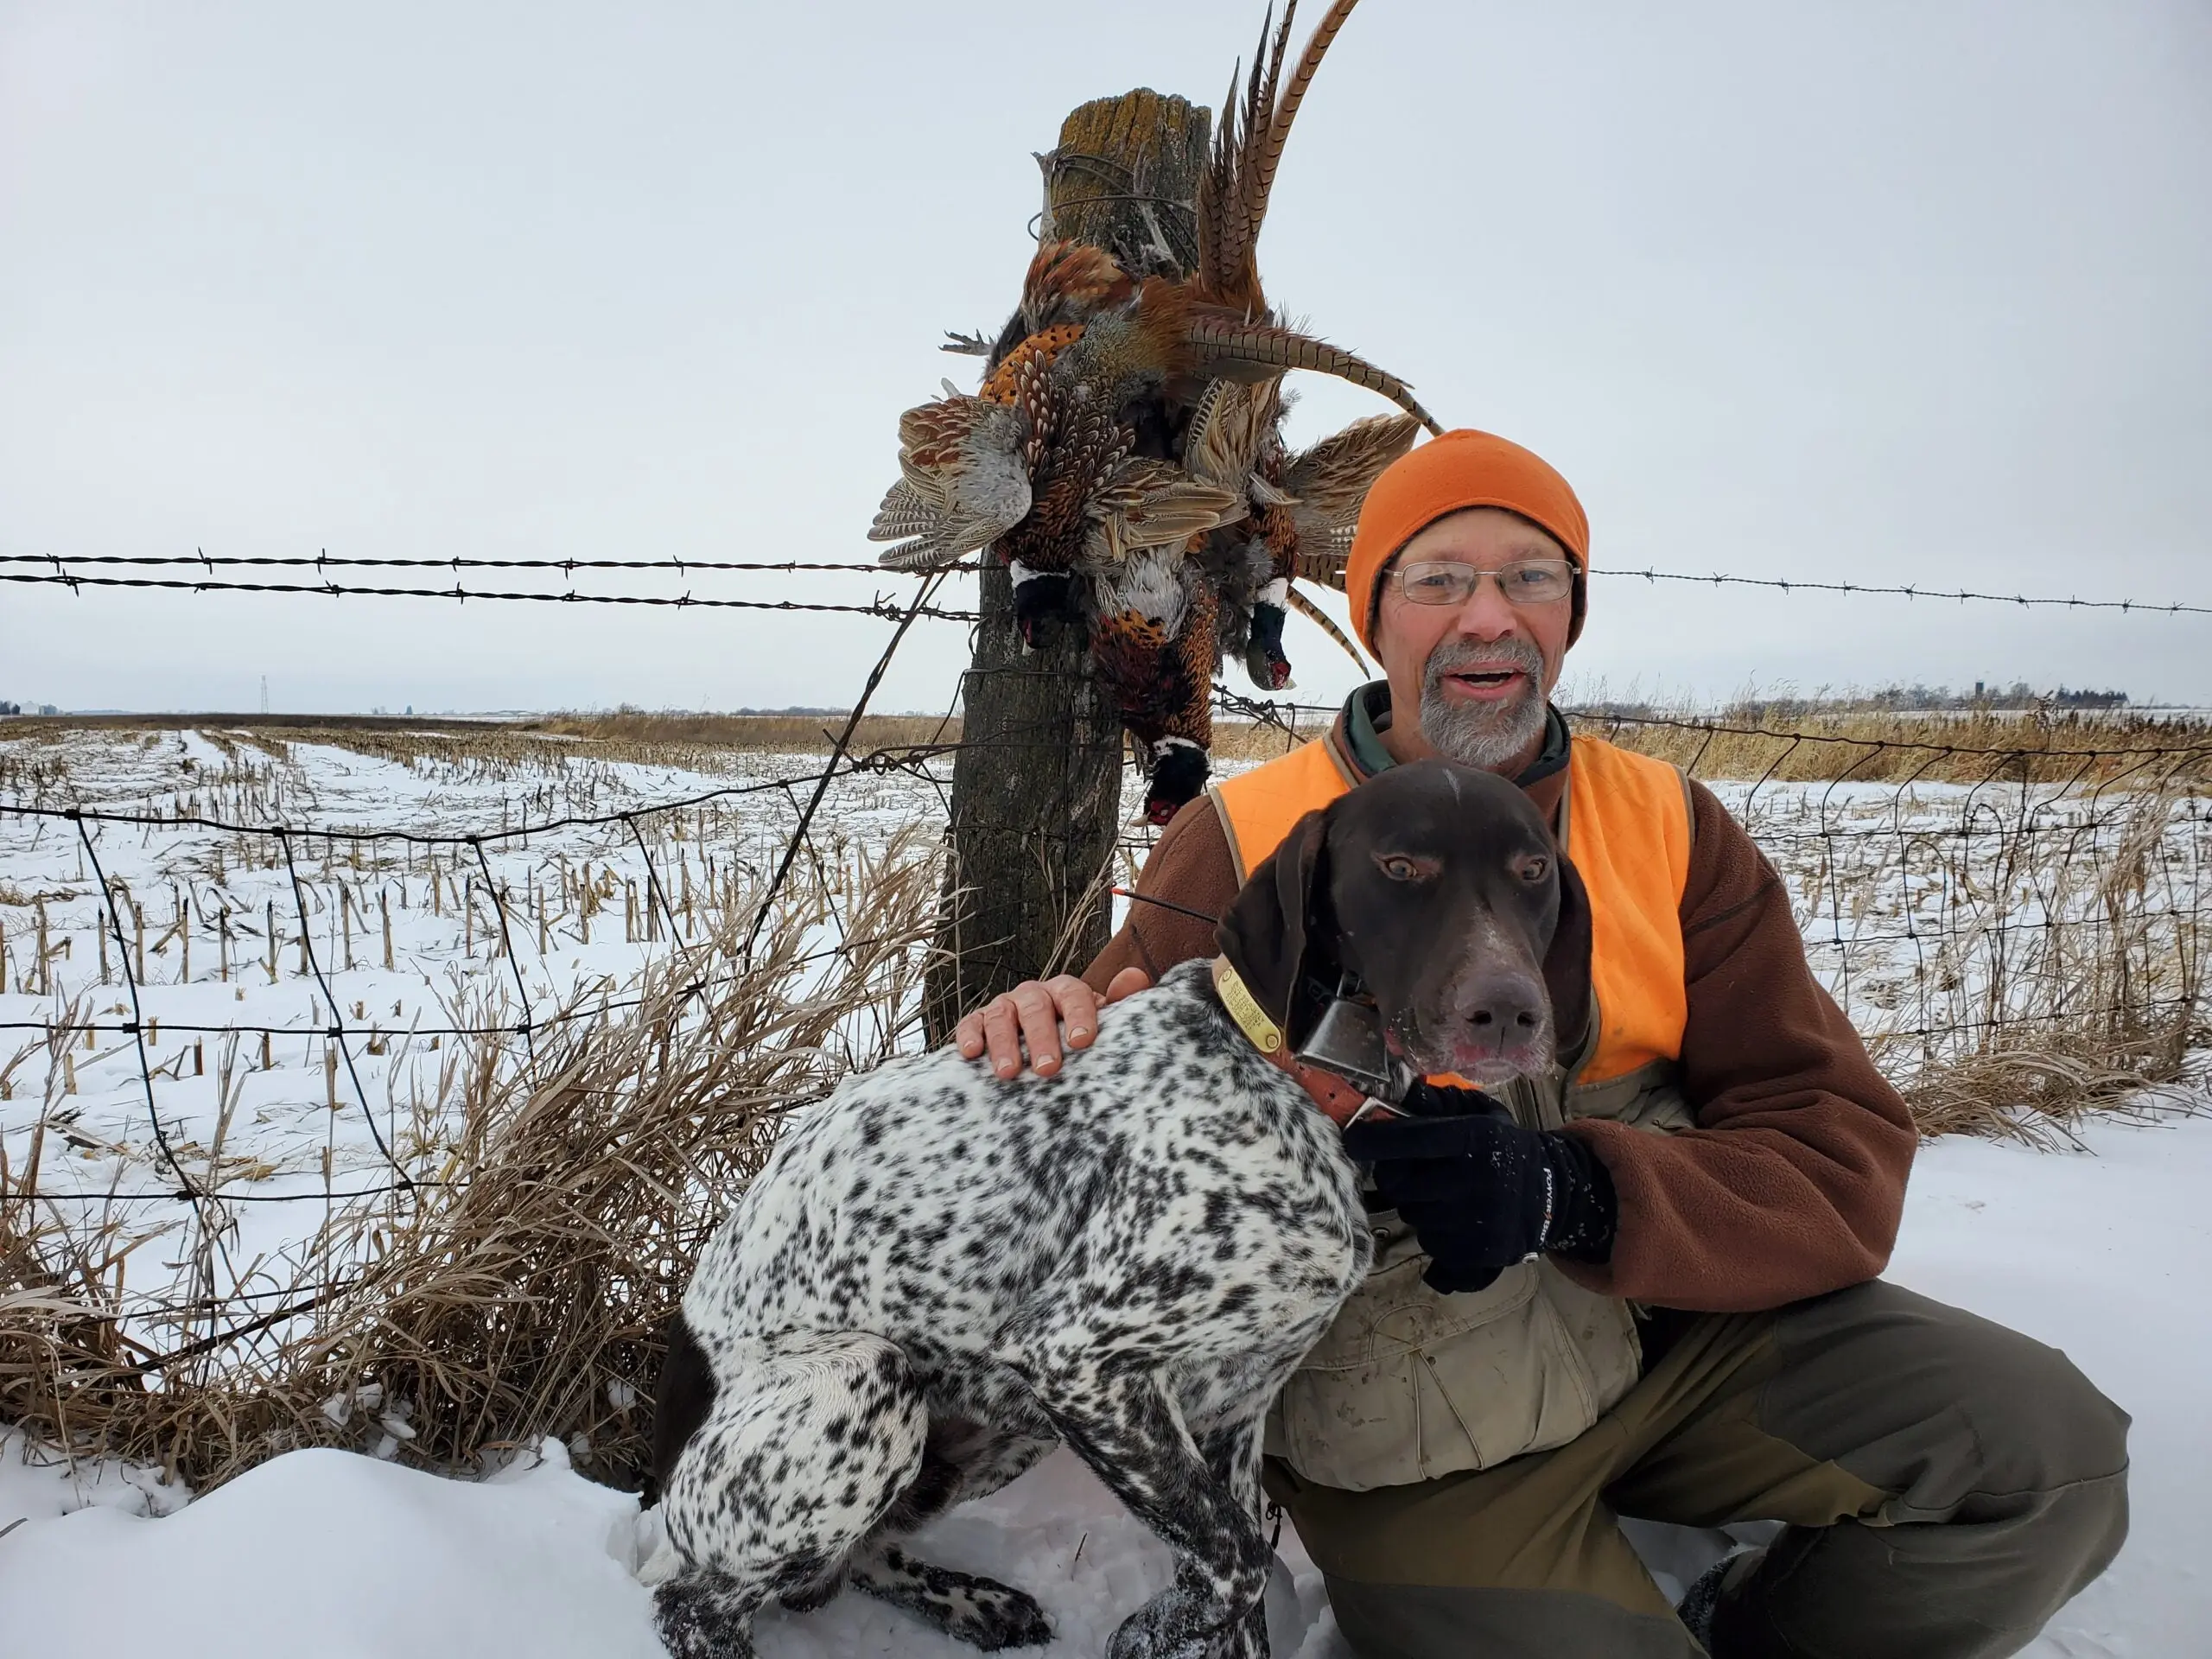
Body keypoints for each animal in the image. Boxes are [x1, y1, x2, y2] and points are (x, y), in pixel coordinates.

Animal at [641, 760, 1592, 1654]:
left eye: (1532, 870)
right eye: (1399, 866)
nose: (1509, 1013)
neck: (1294, 1078)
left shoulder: (1227, 1413)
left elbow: (1238, 1594)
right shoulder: (1077, 1360)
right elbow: (1238, 1565)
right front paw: (1147, 1632)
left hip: (1001, 1420)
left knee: (850, 1562)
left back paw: (973, 1602)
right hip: (869, 1380)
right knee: (694, 1602)